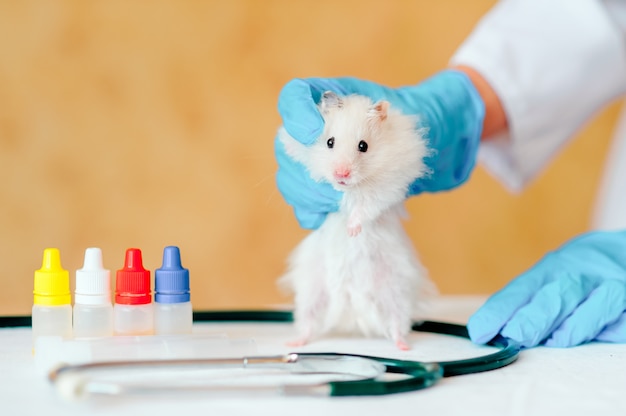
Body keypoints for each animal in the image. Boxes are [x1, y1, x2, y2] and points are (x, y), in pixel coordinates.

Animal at [278, 92, 434, 350]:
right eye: (329, 142)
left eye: (363, 146)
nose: (341, 174)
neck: (351, 188)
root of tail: (351, 309)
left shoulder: (384, 191)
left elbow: (364, 207)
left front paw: (352, 231)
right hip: (311, 290)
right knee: (308, 321)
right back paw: (294, 343)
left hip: (396, 289)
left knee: (397, 322)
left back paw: (403, 346)